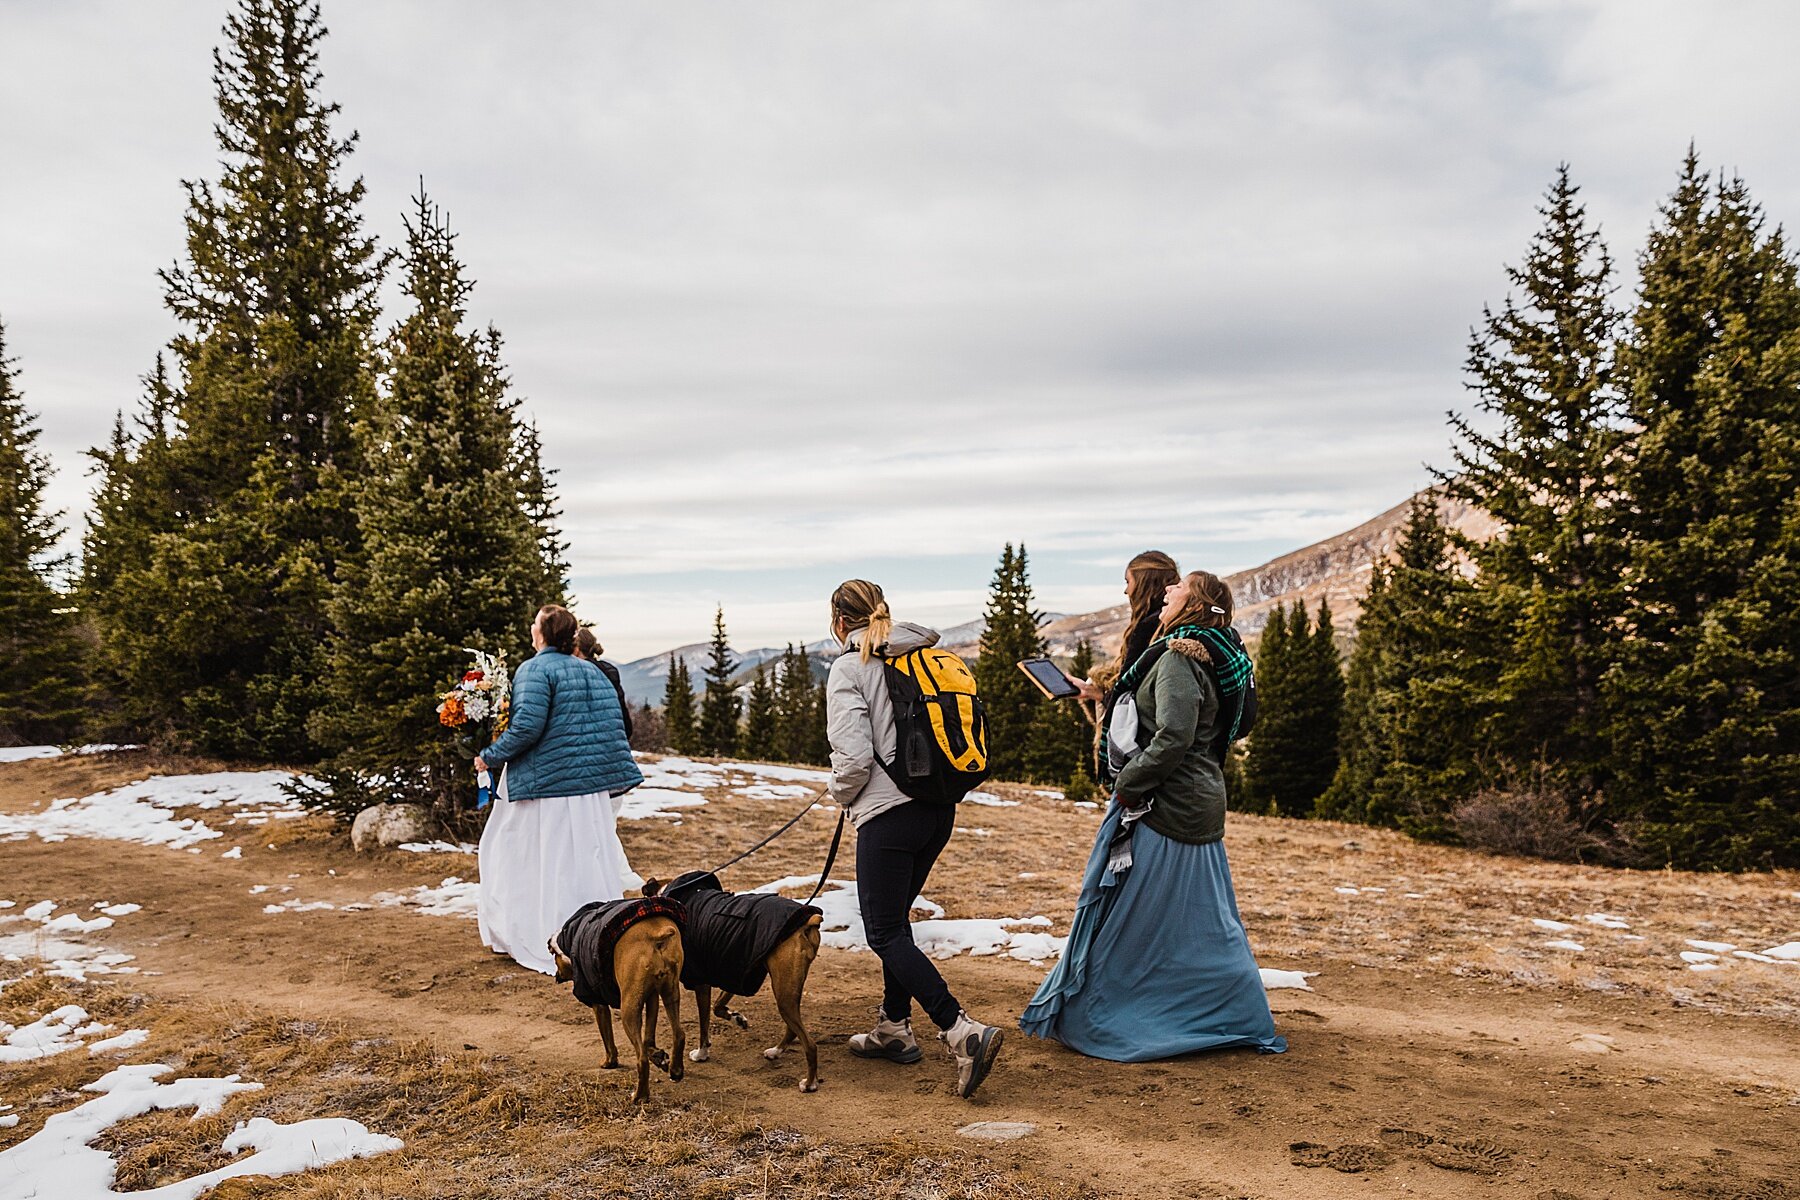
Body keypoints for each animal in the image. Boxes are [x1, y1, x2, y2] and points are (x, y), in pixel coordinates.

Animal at [543, 899, 684, 1108]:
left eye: (554, 957)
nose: (556, 975)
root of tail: (657, 935)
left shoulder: (598, 1002)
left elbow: (607, 1036)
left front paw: (610, 1062)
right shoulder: (651, 997)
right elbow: (648, 1036)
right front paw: (656, 1054)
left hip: (629, 1011)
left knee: (641, 1060)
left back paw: (640, 1095)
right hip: (670, 994)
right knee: (679, 1034)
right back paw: (676, 1070)